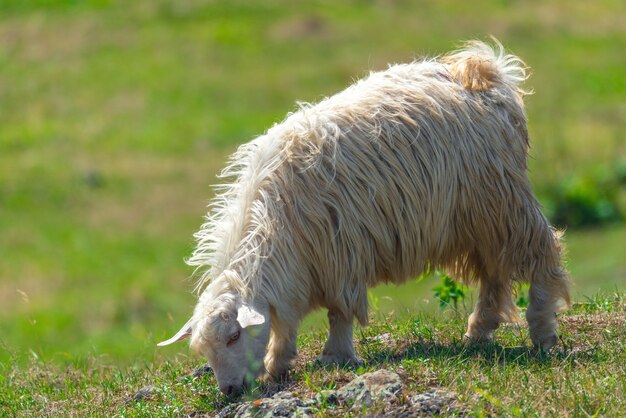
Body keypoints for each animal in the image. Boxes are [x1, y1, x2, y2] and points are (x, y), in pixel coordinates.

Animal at [158, 41, 568, 396]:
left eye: (233, 336)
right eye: (204, 349)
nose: (230, 390)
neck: (275, 222)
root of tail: (482, 70)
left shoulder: (338, 256)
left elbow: (339, 312)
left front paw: (335, 357)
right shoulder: (300, 269)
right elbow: (285, 323)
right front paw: (279, 362)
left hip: (501, 200)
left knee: (542, 252)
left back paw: (543, 333)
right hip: (479, 219)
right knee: (495, 272)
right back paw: (479, 331)